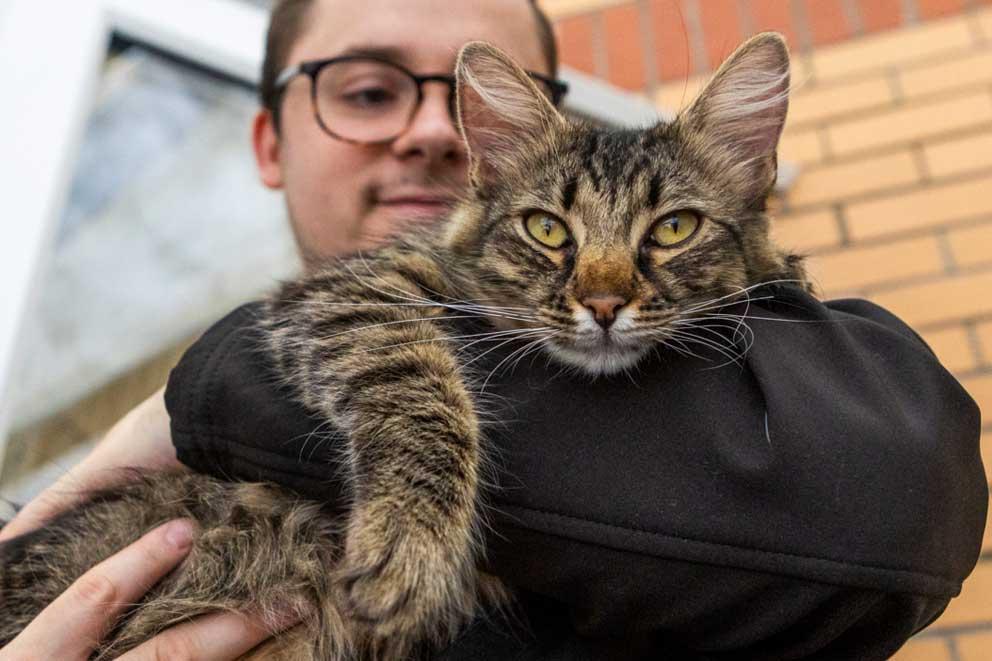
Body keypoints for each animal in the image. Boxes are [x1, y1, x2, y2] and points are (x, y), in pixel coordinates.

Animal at [0, 34, 808, 660]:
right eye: (547, 229)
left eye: (674, 229)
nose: (604, 305)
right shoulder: (344, 297)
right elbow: (423, 401)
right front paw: (410, 550)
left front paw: (787, 270)